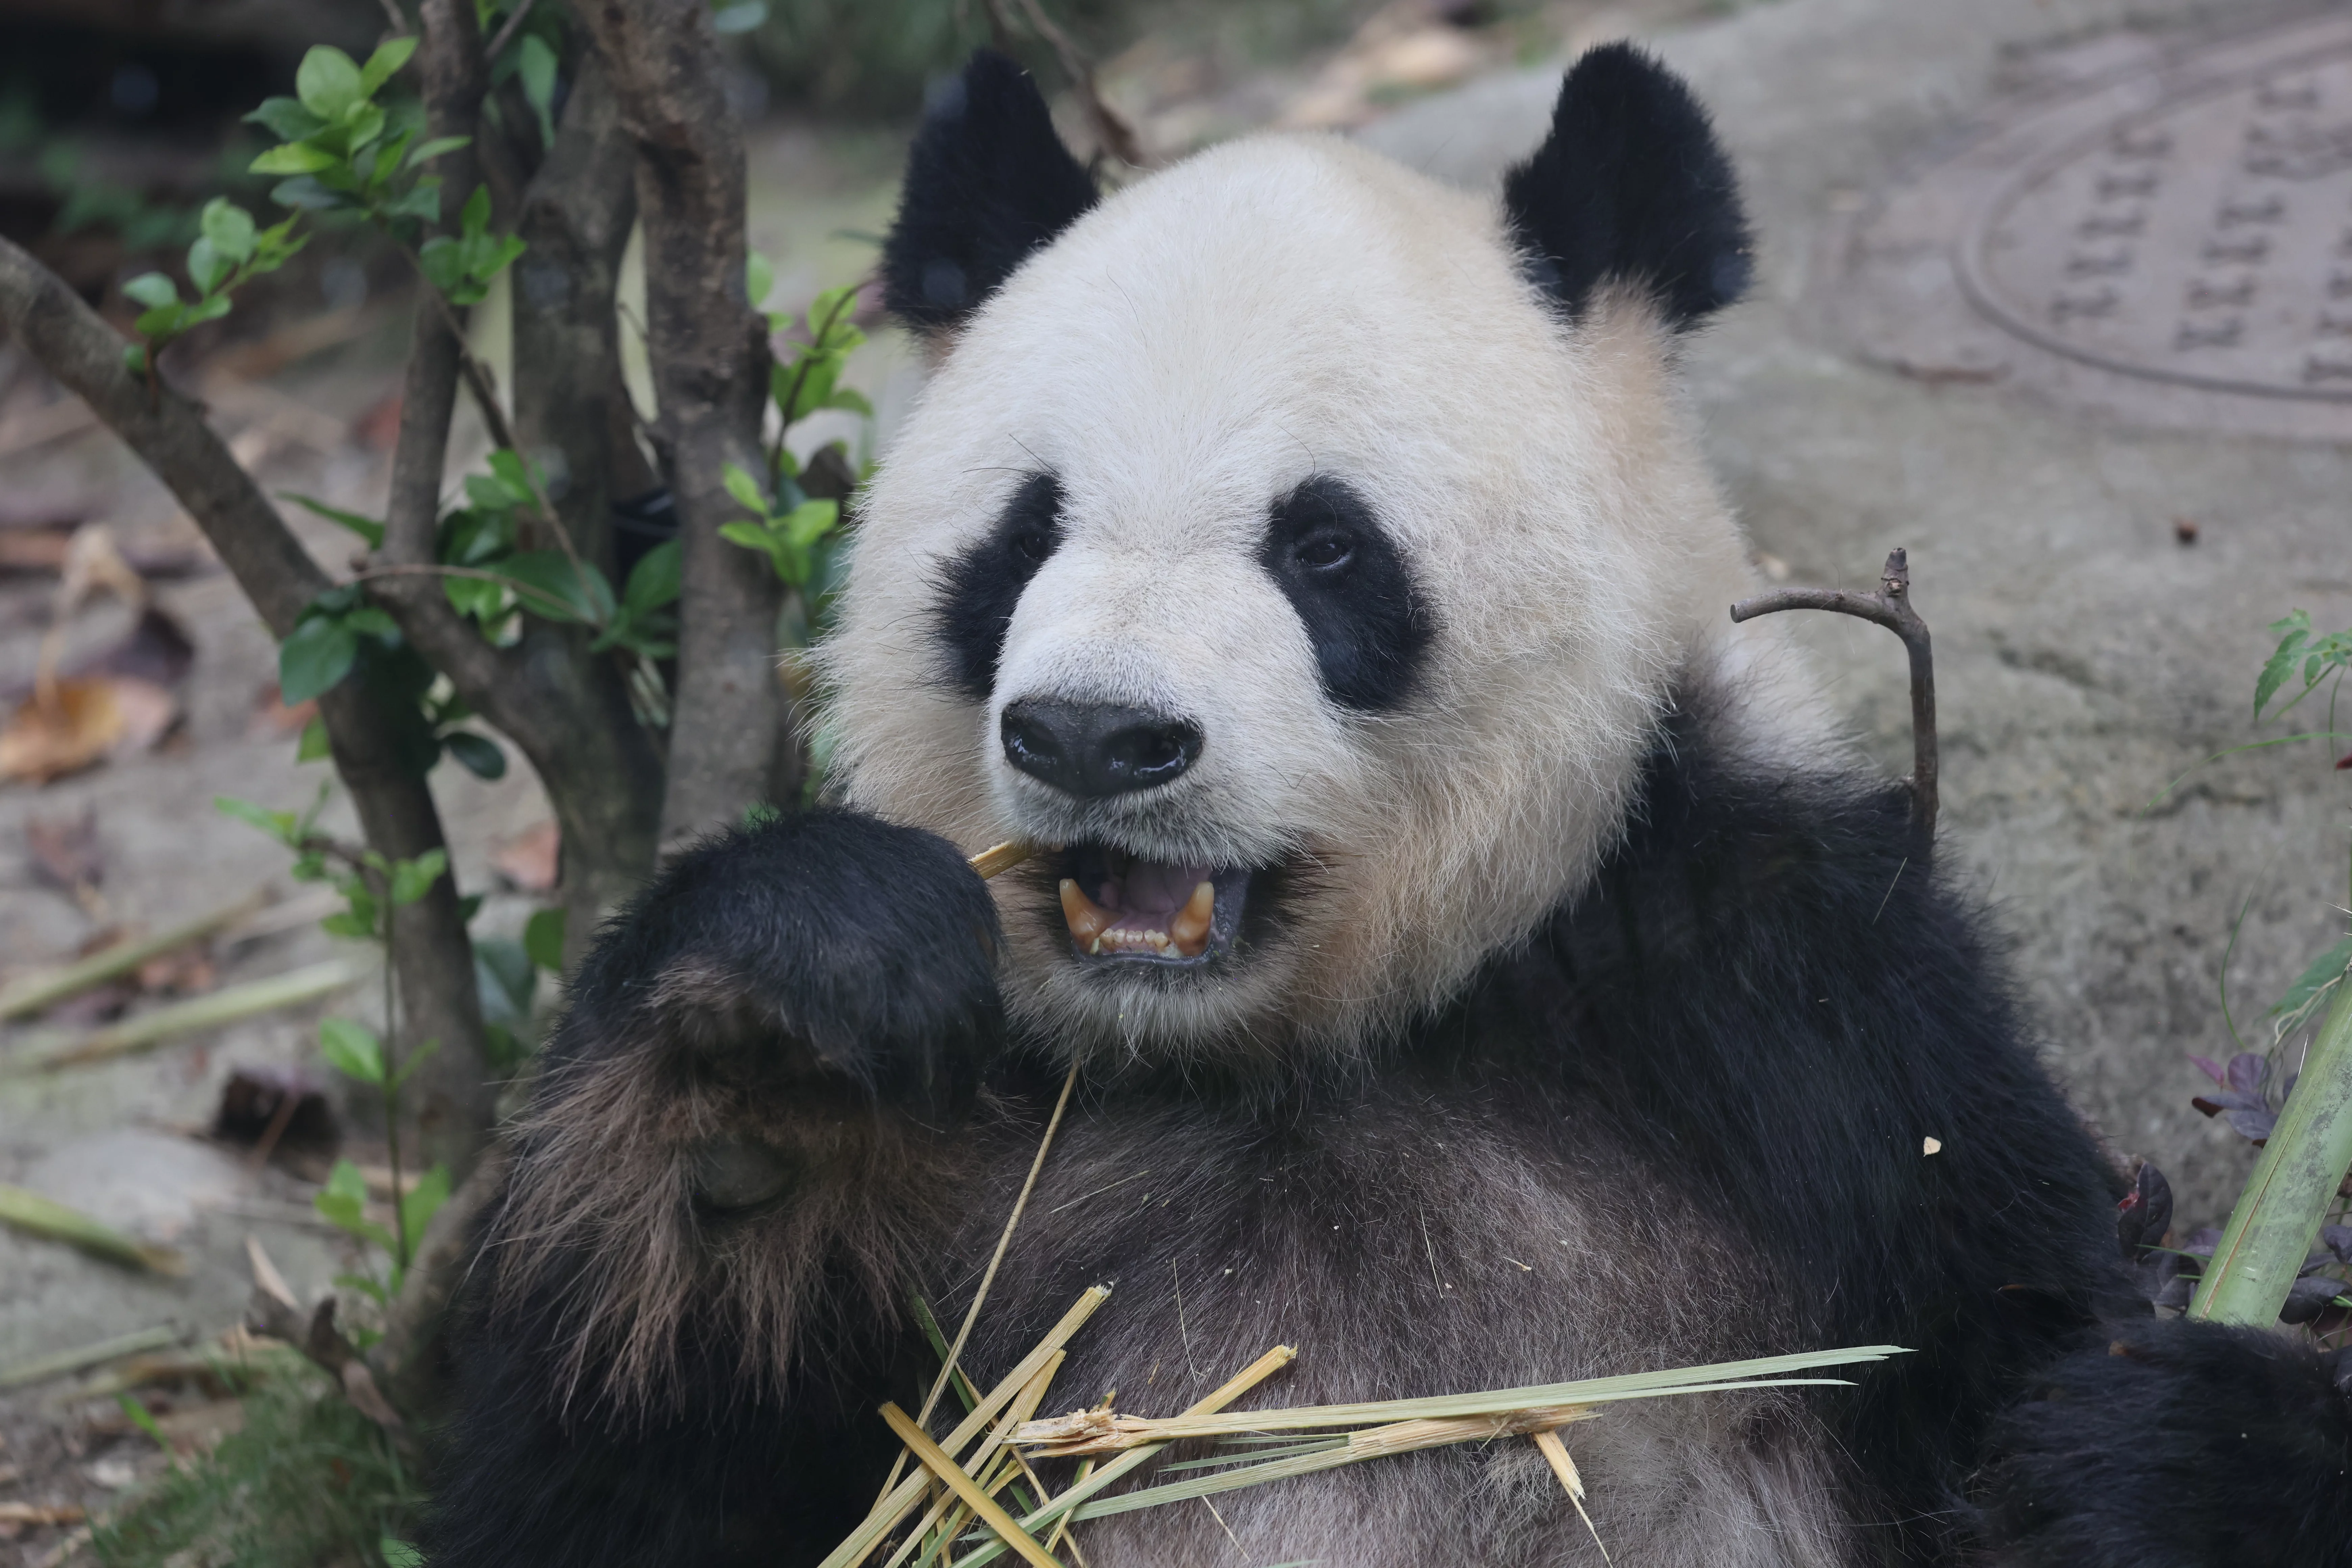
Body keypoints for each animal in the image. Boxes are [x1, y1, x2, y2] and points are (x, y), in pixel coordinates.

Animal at [427, 45, 2352, 1568]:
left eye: (1326, 548)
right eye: (1023, 536)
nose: (1095, 733)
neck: (1286, 1051)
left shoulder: (1799, 1018)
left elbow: (2013, 1334)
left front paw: (2169, 1452)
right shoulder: (972, 1175)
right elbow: (597, 1503)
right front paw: (768, 1056)